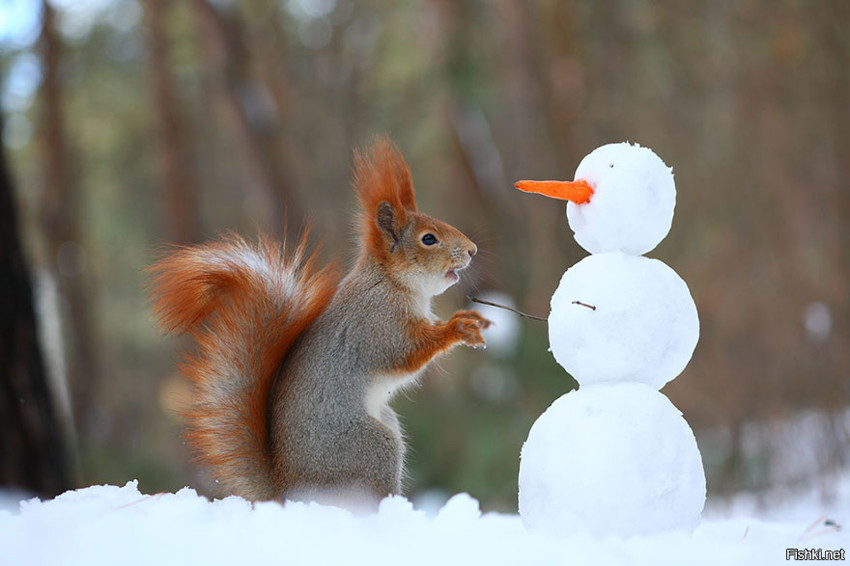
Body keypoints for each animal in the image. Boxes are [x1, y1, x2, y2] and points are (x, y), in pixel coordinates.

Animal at [147, 136, 490, 506]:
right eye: (429, 239)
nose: (472, 250)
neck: (391, 283)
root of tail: (290, 491)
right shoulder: (377, 323)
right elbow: (405, 353)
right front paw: (458, 328)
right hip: (371, 448)